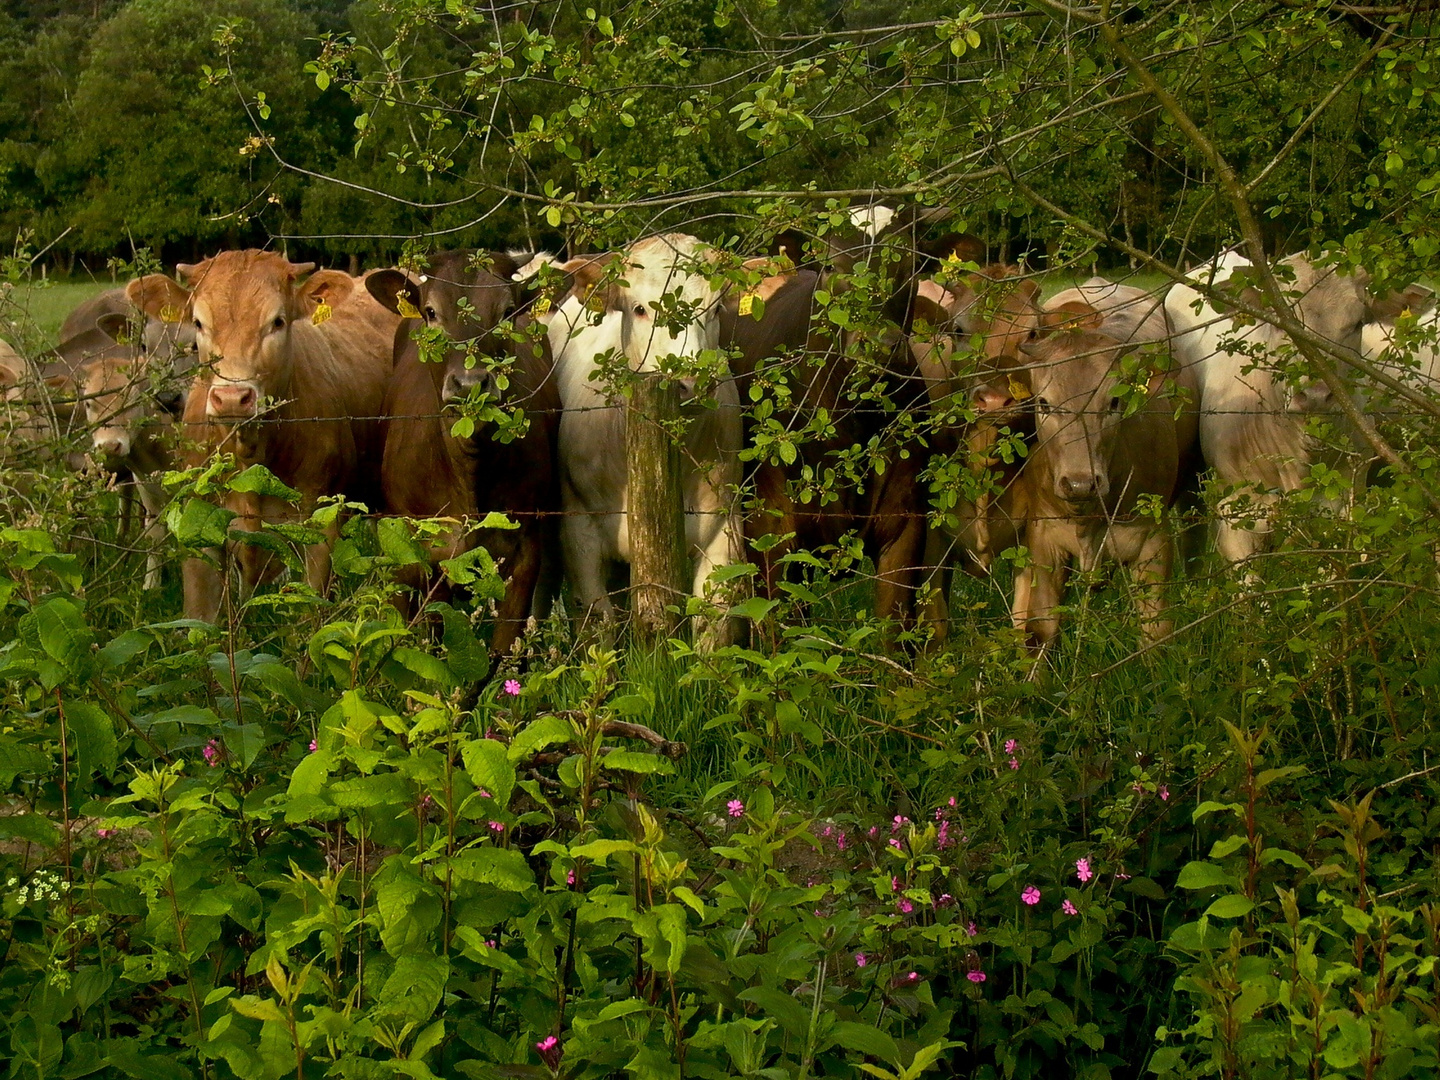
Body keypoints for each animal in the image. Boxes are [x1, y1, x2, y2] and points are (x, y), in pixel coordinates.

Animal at [362, 252, 558, 659]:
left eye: (507, 312)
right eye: (431, 312)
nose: (470, 384)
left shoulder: (525, 552)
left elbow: (503, 653)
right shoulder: (415, 552)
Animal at [529, 234, 743, 642]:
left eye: (716, 309)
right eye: (640, 309)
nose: (691, 381)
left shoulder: (722, 532)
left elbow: (712, 622)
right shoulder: (578, 533)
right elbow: (597, 623)